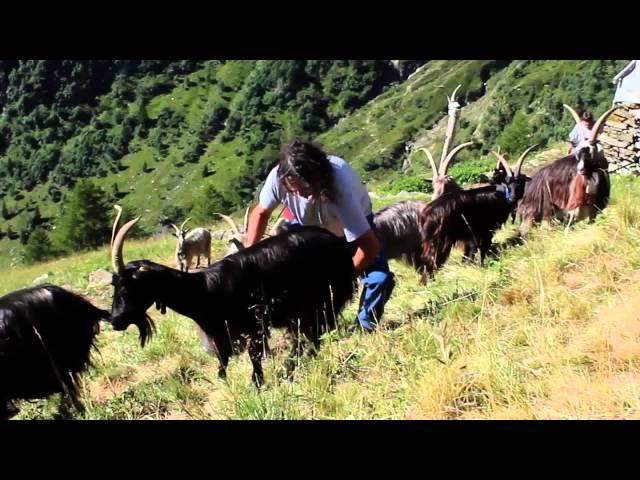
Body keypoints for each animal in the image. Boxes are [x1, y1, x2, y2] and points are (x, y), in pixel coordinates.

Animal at [107, 208, 352, 388]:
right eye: (113, 285)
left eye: (128, 286)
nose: (115, 320)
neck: (203, 290)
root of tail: (336, 241)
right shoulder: (222, 336)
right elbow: (222, 364)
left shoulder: (252, 327)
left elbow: (254, 357)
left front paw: (256, 384)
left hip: (322, 297)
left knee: (314, 333)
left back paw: (292, 365)